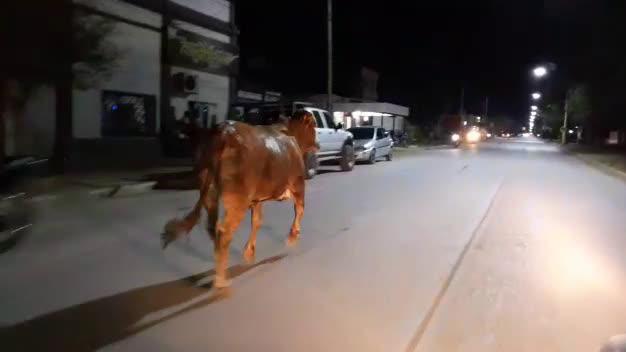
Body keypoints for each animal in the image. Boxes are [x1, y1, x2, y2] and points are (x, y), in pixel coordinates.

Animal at [162, 110, 316, 288]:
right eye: (314, 124)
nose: (317, 144)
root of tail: (224, 132)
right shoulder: (298, 185)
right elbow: (300, 210)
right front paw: (292, 237)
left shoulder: (256, 200)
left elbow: (257, 221)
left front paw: (249, 253)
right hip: (238, 200)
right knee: (224, 231)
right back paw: (221, 281)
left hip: (210, 192)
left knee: (213, 227)